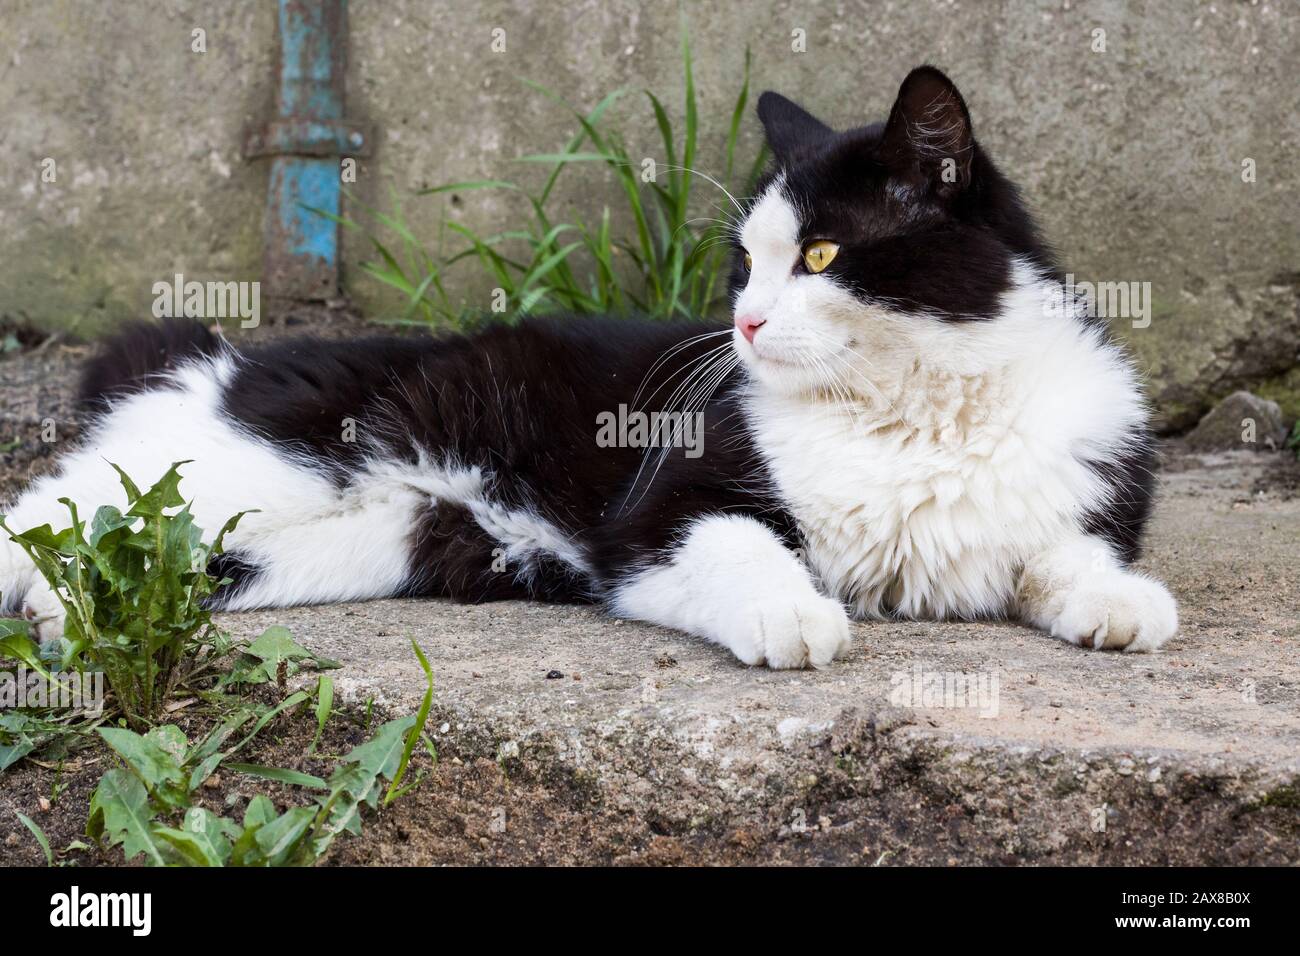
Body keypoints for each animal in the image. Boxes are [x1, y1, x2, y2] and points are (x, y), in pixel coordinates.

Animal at [2, 69, 1180, 665]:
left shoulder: (1075, 491)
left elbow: (1061, 553)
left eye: (820, 256)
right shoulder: (659, 513)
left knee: (164, 555)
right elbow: (743, 544)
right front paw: (795, 613)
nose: (746, 323)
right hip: (266, 457)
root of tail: (226, 356)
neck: (913, 406)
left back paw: (75, 614)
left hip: (373, 536)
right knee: (55, 502)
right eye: (743, 265)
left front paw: (1119, 601)